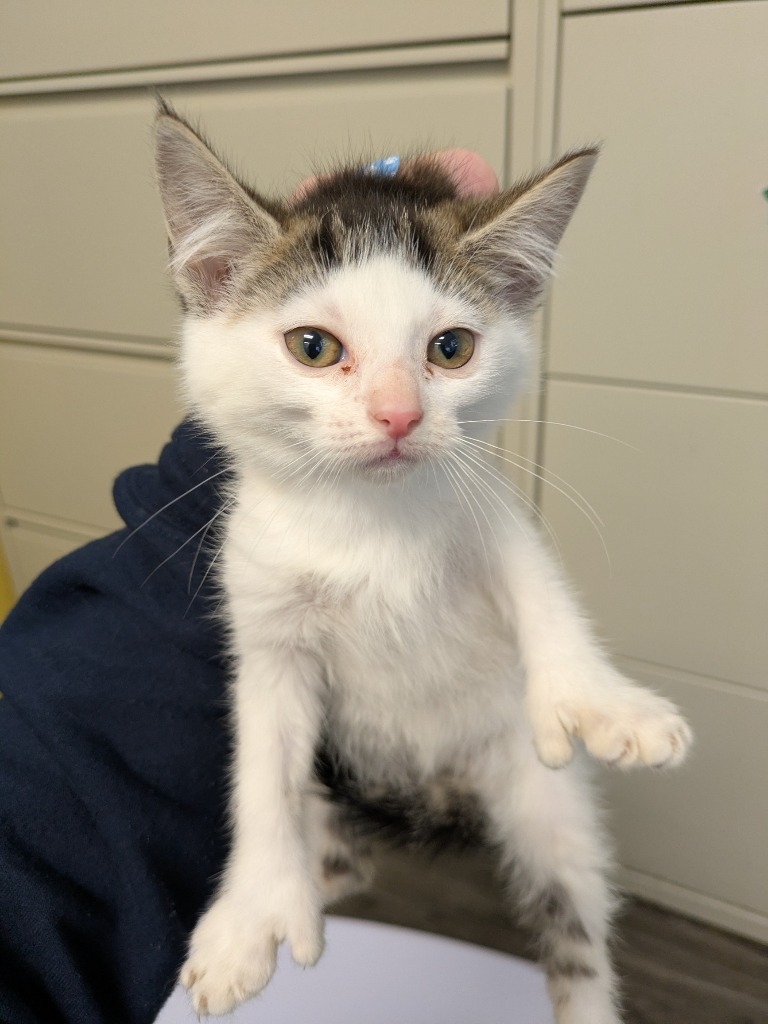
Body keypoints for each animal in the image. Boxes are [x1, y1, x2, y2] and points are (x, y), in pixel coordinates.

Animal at [154, 99, 692, 1019]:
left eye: (451, 349)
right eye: (312, 346)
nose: (399, 416)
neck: (370, 522)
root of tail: (439, 788)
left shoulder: (490, 510)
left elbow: (540, 586)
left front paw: (603, 702)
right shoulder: (265, 620)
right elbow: (263, 769)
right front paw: (248, 916)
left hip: (543, 796)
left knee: (573, 924)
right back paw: (321, 870)